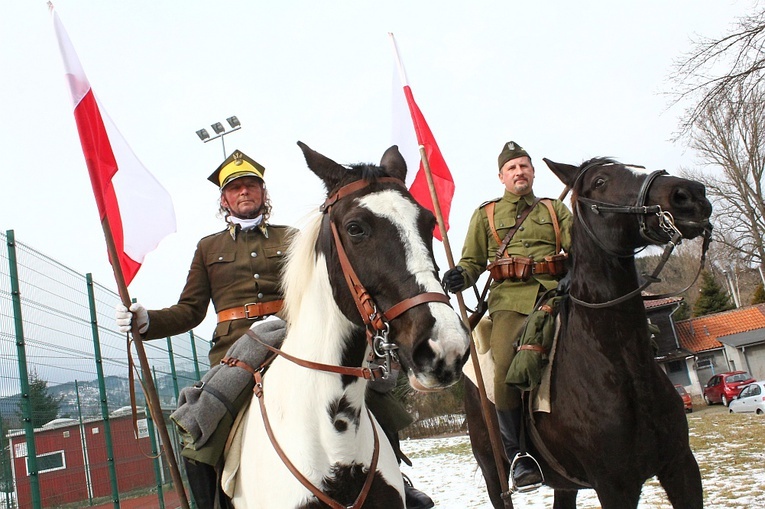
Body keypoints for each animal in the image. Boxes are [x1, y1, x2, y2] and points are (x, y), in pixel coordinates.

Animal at [462, 157, 712, 506]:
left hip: (565, 484)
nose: (689, 194)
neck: (624, 365)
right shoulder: (615, 486)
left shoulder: (681, 467)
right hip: (492, 474)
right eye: (599, 181)